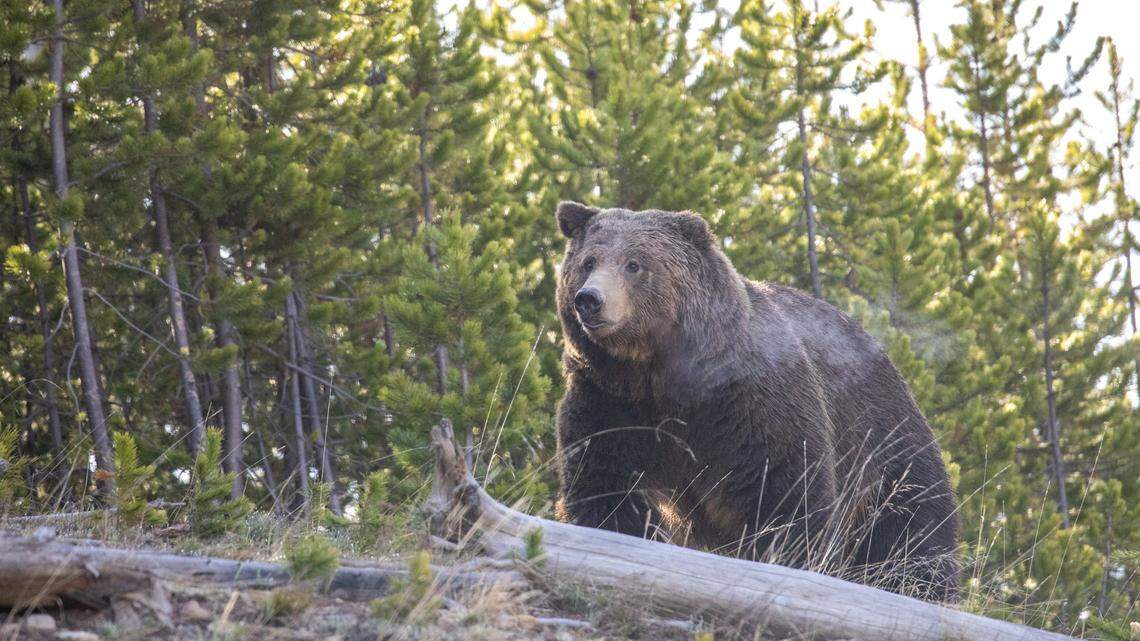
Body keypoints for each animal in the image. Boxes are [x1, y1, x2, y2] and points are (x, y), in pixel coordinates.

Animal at [552, 201, 960, 602]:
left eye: (634, 263)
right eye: (588, 261)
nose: (590, 299)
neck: (658, 375)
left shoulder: (748, 402)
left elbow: (782, 490)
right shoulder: (609, 400)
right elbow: (605, 481)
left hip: (884, 438)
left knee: (912, 525)